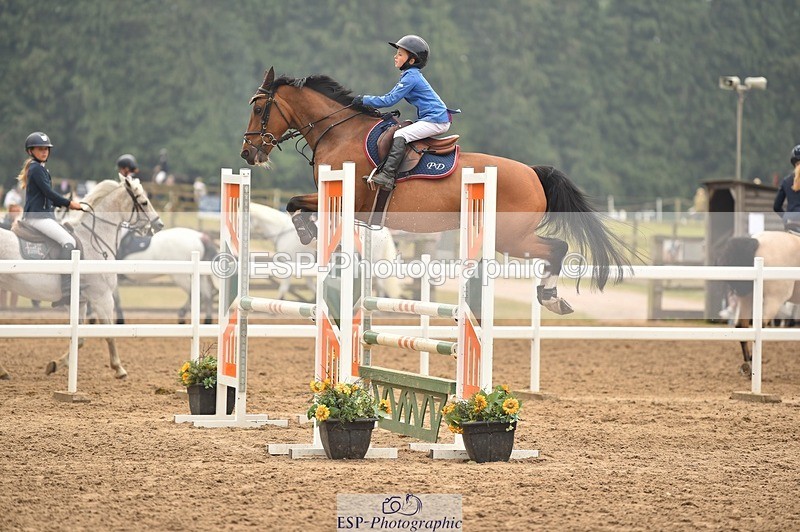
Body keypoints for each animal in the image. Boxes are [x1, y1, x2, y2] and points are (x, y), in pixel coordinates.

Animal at [0, 176, 163, 381]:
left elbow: (80, 339)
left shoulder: (81, 301)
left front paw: (55, 364)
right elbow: (109, 333)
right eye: (144, 201)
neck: (93, 239)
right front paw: (119, 368)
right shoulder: (102, 298)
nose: (159, 225)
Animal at [248, 201, 403, 300]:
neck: (281, 230)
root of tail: (385, 232)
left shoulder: (291, 264)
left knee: (381, 283)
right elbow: (311, 285)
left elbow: (284, 287)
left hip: (375, 259)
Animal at [717, 231, 800, 375]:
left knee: (742, 326)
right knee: (760, 327)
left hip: (747, 297)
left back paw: (748, 366)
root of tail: (758, 240)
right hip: (774, 299)